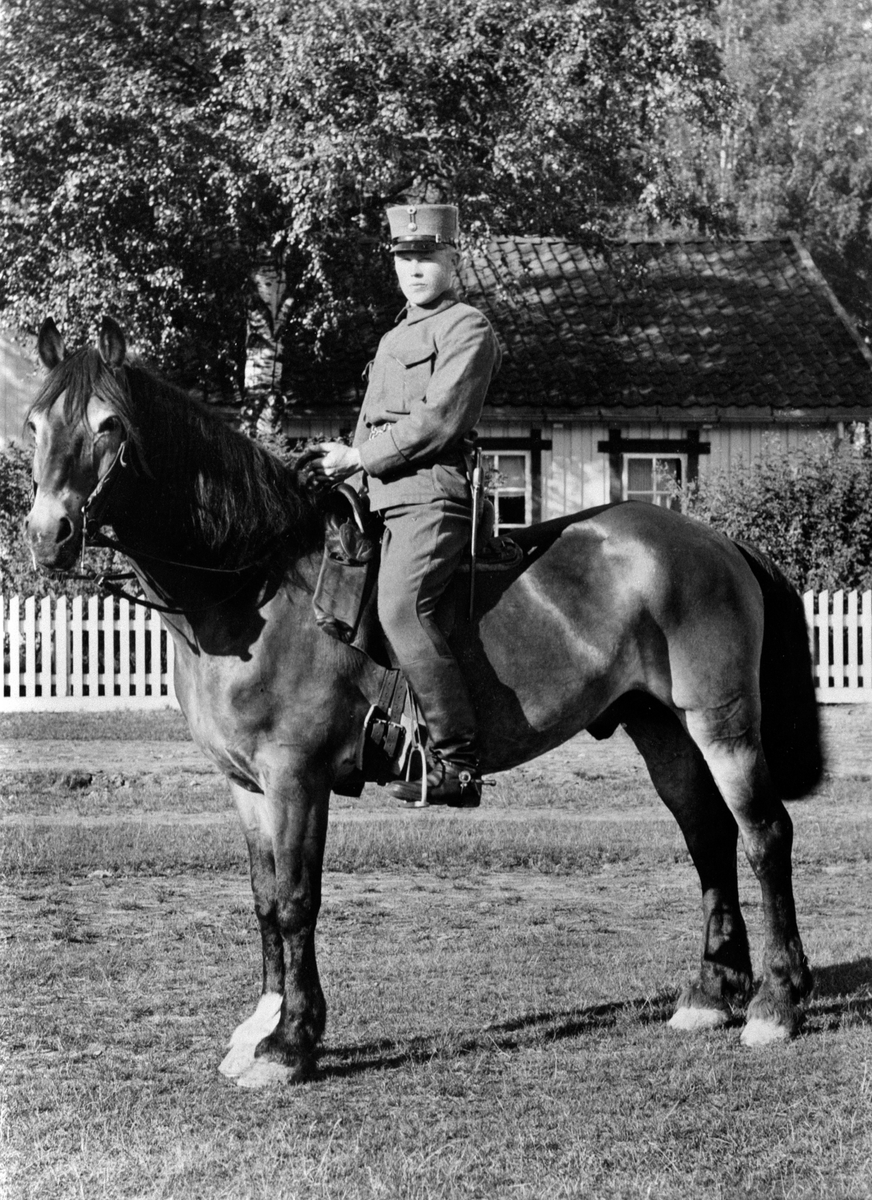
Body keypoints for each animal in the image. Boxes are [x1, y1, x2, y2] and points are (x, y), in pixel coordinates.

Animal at [23, 319, 820, 1089]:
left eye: (108, 424)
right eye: (34, 422)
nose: (46, 534)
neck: (257, 586)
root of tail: (715, 541)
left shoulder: (296, 779)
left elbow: (298, 900)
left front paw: (291, 1042)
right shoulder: (246, 785)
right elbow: (264, 900)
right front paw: (262, 1025)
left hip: (722, 723)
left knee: (763, 834)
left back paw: (777, 1002)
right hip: (663, 729)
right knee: (708, 837)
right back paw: (712, 993)